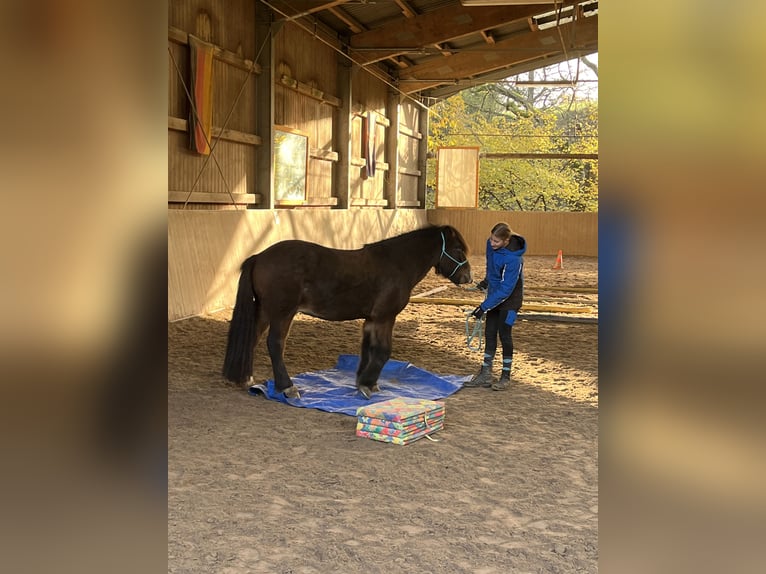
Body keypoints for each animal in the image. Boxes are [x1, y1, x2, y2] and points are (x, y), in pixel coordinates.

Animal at [222, 224, 472, 399]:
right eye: (458, 249)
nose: (468, 277)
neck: (397, 264)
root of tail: (260, 257)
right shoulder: (385, 318)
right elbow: (383, 352)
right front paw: (367, 384)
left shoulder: (372, 320)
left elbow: (368, 350)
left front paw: (364, 382)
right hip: (282, 313)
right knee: (275, 345)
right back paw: (287, 387)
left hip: (265, 311)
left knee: (252, 338)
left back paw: (243, 378)